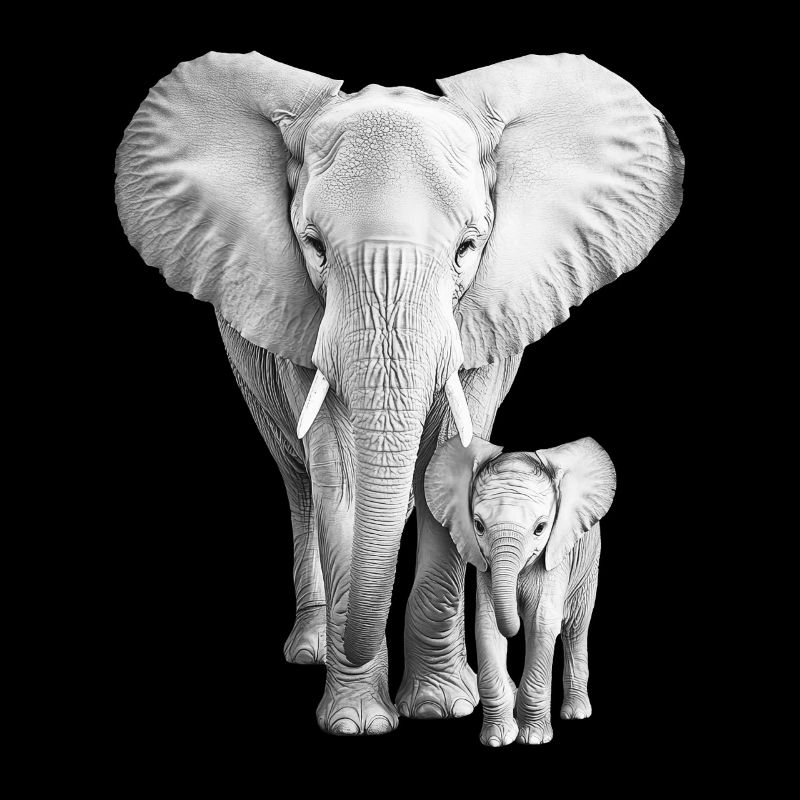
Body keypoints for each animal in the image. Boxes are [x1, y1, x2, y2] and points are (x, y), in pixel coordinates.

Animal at [425, 435, 616, 746]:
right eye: (478, 525)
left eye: (540, 528)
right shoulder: (486, 568)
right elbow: (486, 625)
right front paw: (497, 738)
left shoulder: (555, 556)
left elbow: (542, 623)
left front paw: (533, 738)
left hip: (589, 563)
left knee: (576, 627)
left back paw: (576, 713)